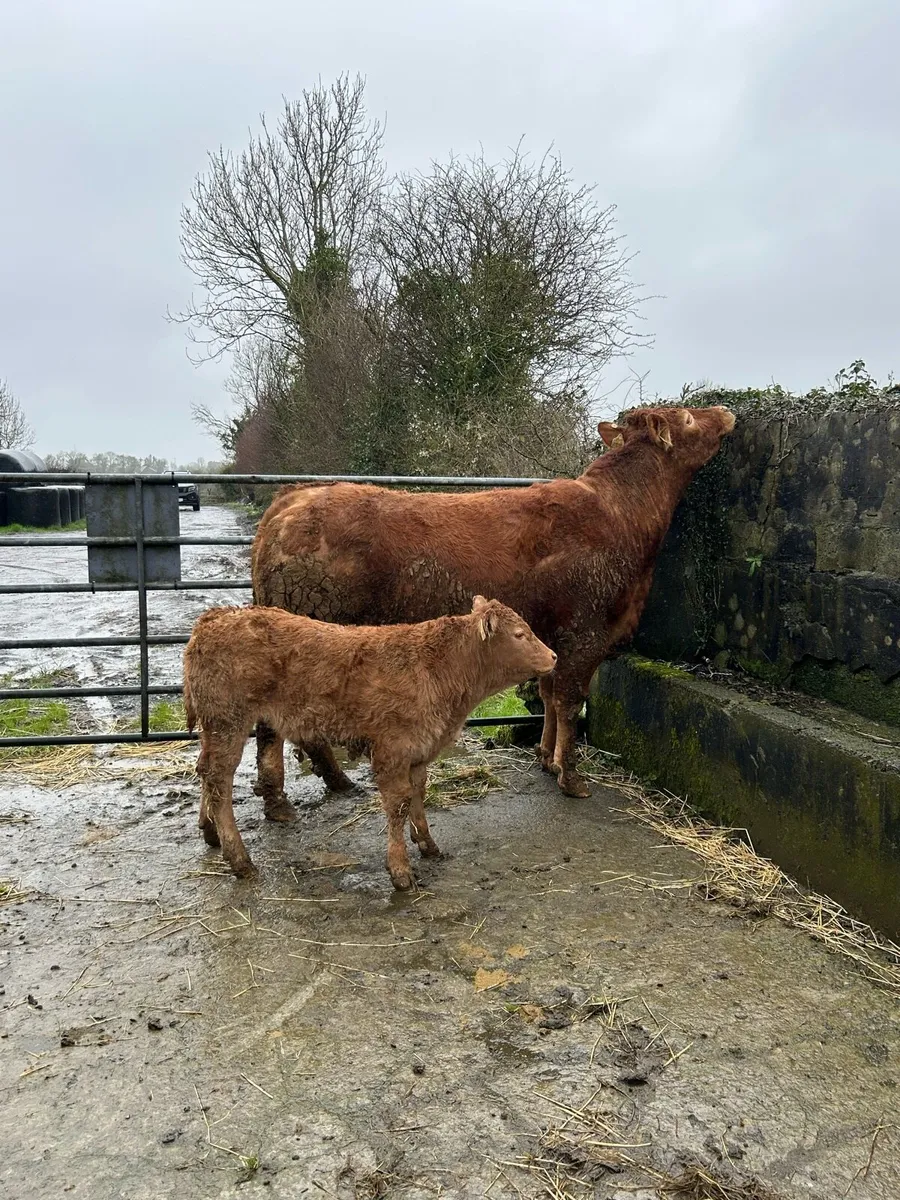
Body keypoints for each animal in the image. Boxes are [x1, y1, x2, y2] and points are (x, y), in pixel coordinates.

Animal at [183, 597, 556, 887]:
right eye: (520, 634)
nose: (554, 656)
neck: (438, 667)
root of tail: (214, 618)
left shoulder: (418, 751)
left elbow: (418, 795)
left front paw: (428, 844)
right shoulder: (392, 750)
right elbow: (398, 805)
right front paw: (401, 871)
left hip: (214, 727)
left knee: (205, 771)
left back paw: (211, 832)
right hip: (228, 721)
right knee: (219, 780)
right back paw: (239, 859)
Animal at [251, 403, 736, 804]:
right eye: (688, 417)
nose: (725, 410)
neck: (619, 513)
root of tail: (294, 498)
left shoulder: (553, 636)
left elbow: (548, 693)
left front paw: (545, 757)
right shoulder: (586, 632)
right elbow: (569, 701)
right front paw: (571, 778)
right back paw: (312, 788)